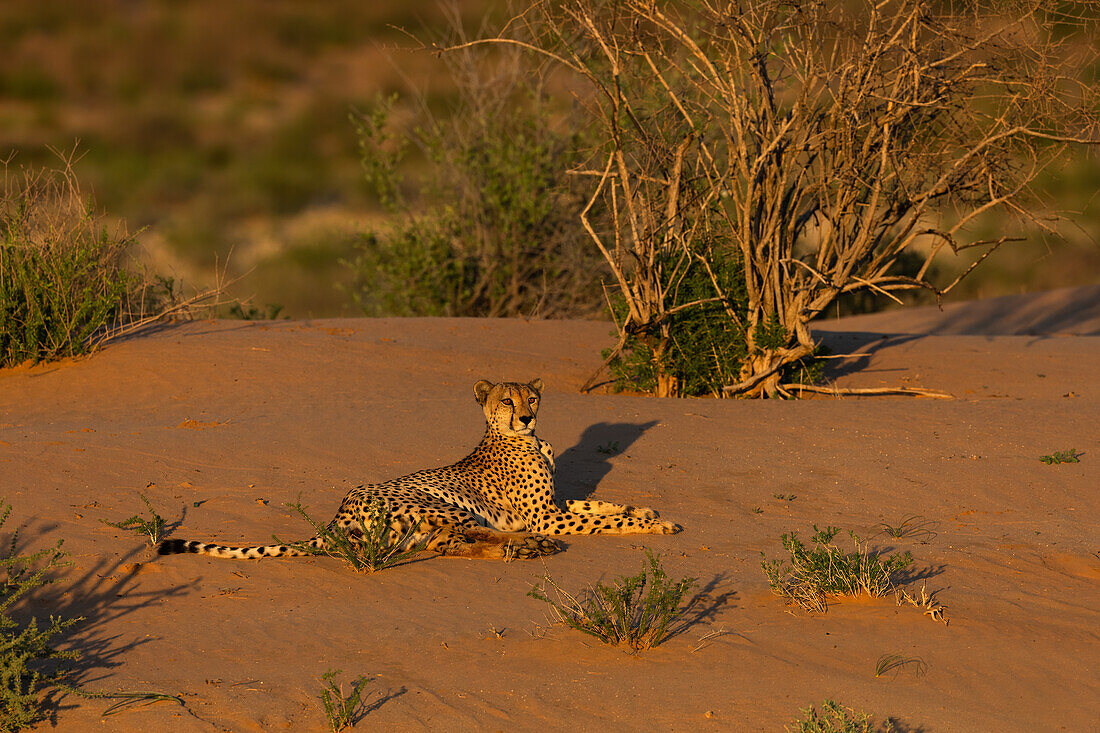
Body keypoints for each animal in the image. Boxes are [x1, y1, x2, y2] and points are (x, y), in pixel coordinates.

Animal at [157, 376, 677, 559]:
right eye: (506, 401)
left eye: (531, 398)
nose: (527, 416)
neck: (529, 439)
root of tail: (337, 512)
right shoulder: (545, 514)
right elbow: (601, 521)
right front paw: (655, 526)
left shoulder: (555, 504)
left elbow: (603, 504)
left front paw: (645, 512)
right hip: (442, 506)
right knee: (472, 535)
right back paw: (533, 545)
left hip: (423, 527)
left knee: (453, 545)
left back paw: (527, 549)